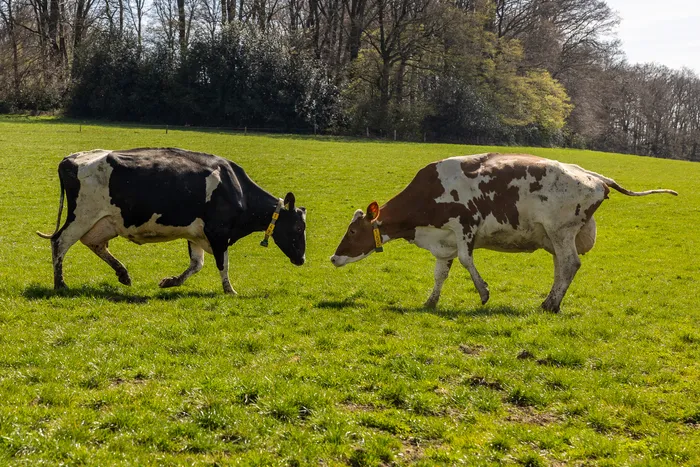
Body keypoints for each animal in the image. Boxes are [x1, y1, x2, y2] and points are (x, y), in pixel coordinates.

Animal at [37, 148, 306, 294]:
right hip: (81, 216)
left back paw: (123, 274)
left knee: (95, 244)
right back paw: (60, 284)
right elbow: (223, 264)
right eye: (297, 227)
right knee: (59, 242)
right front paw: (230, 290)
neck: (235, 188)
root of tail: (71, 159)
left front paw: (170, 282)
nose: (302, 259)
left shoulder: (197, 234)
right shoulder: (218, 233)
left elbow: (197, 264)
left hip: (104, 222)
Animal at [330, 153, 677, 312]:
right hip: (556, 236)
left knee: (569, 264)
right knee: (561, 267)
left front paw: (483, 293)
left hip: (561, 230)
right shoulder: (444, 242)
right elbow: (440, 273)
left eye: (352, 231)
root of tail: (592, 175)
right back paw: (551, 302)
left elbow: (468, 262)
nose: (333, 257)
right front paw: (430, 301)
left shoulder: (465, 227)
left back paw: (549, 305)